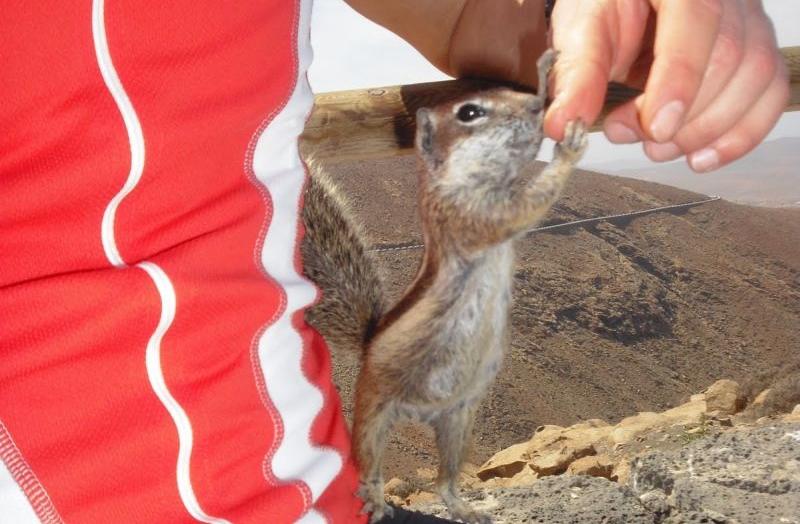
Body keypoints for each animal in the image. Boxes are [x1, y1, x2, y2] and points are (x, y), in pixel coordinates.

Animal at [300, 50, 588, 524]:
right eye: (469, 112)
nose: (535, 108)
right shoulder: (467, 214)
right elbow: (523, 207)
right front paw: (569, 147)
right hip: (375, 414)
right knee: (369, 462)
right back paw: (374, 499)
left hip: (459, 421)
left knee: (444, 479)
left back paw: (464, 507)